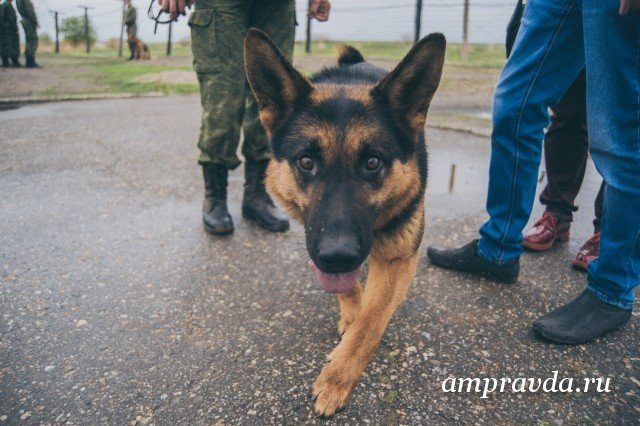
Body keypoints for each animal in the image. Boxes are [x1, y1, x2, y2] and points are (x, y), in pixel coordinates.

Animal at [244, 29, 445, 417]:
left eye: (373, 162)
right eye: (306, 161)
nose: (338, 256)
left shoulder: (399, 257)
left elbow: (372, 320)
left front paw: (338, 378)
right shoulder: (316, 243)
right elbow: (349, 292)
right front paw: (351, 312)